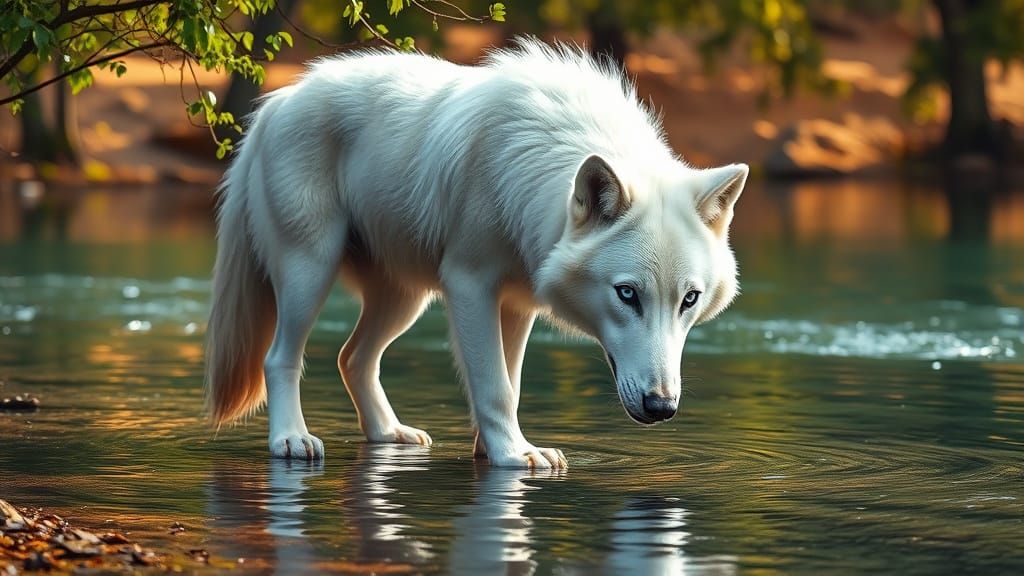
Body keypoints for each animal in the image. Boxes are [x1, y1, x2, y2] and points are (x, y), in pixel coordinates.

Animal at [205, 39, 747, 469]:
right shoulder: (470, 286)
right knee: (280, 357)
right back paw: (291, 439)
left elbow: (511, 383)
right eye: (628, 294)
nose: (662, 407)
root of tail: (277, 102)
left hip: (405, 298)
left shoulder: (519, 303)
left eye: (690, 300)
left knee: (352, 357)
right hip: (310, 271)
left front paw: (495, 449)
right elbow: (494, 385)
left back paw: (388, 433)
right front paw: (513, 455)